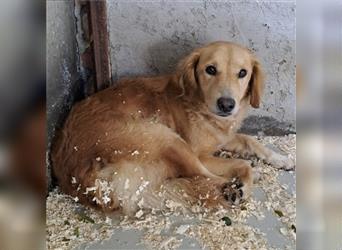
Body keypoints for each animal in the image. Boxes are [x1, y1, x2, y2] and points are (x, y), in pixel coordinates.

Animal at [50, 41, 294, 217]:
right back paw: (234, 186)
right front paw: (250, 172)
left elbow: (250, 140)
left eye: (243, 73)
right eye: (210, 69)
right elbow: (240, 160)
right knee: (202, 174)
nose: (227, 104)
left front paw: (281, 159)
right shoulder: (201, 154)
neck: (197, 104)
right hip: (166, 137)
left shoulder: (223, 137)